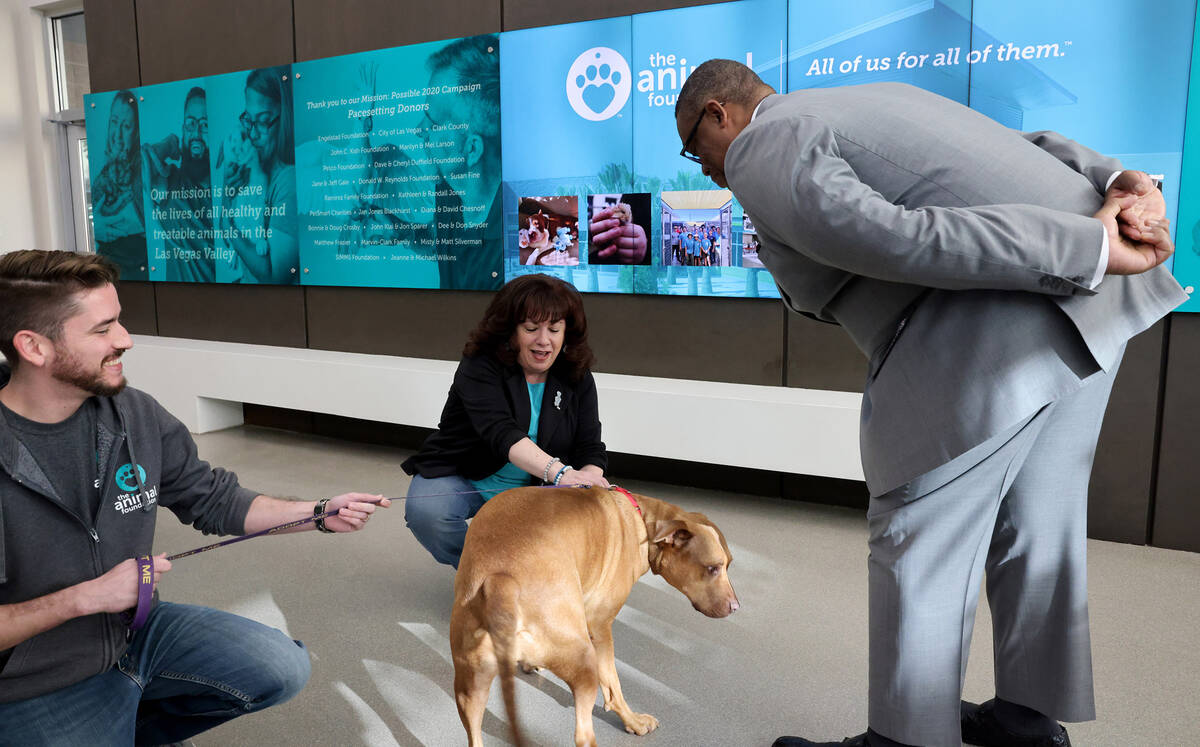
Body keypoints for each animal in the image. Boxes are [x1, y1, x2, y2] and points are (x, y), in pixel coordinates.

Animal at [451, 485, 734, 747]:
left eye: (728, 564)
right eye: (713, 568)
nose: (736, 607)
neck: (641, 521)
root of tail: (501, 581)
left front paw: (531, 664)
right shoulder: (600, 629)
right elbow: (612, 684)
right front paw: (632, 721)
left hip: (470, 687)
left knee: (473, 731)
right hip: (584, 662)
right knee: (584, 734)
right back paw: (630, 721)